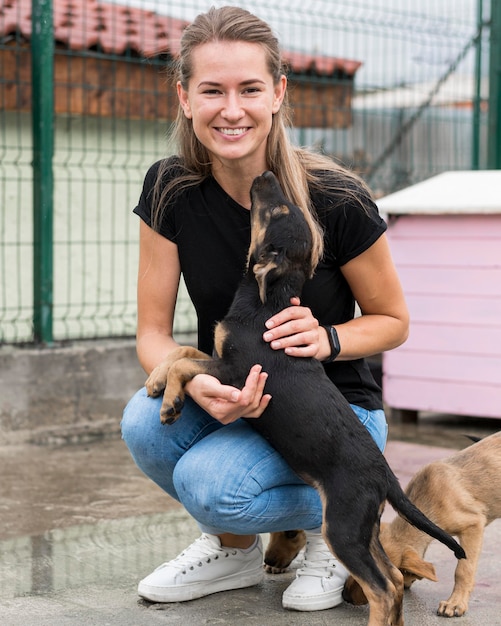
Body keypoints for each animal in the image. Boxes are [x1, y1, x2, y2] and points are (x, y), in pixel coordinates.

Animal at [146, 171, 464, 624]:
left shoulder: (236, 374)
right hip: (363, 526)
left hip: (343, 525)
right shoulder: (221, 360)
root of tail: (385, 475)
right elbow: (182, 352)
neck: (267, 301)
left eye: (279, 210)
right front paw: (156, 381)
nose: (264, 175)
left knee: (383, 587)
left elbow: (187, 365)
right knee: (393, 578)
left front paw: (171, 403)